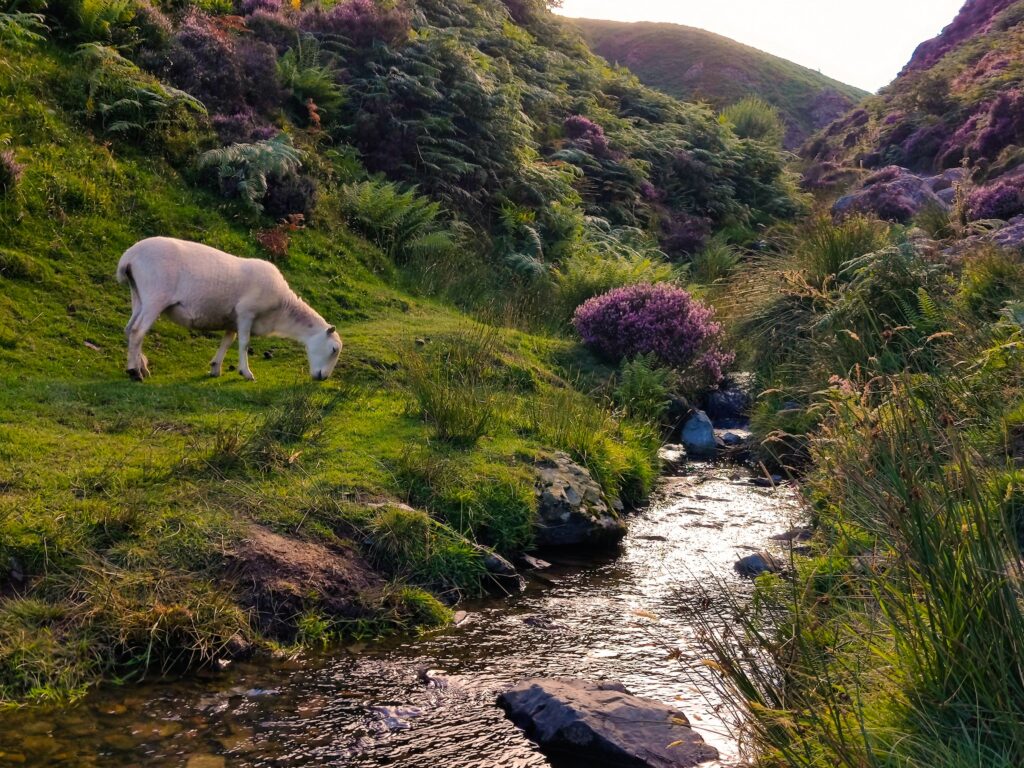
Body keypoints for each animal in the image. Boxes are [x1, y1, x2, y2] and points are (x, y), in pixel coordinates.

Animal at [114, 239, 342, 382]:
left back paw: (141, 367)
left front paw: (215, 368)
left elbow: (227, 341)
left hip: (139, 295)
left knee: (130, 329)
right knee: (138, 331)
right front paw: (246, 373)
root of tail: (128, 257)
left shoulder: (232, 319)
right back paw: (135, 372)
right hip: (155, 296)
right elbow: (244, 343)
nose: (324, 378)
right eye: (333, 350)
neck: (281, 311)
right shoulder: (246, 313)